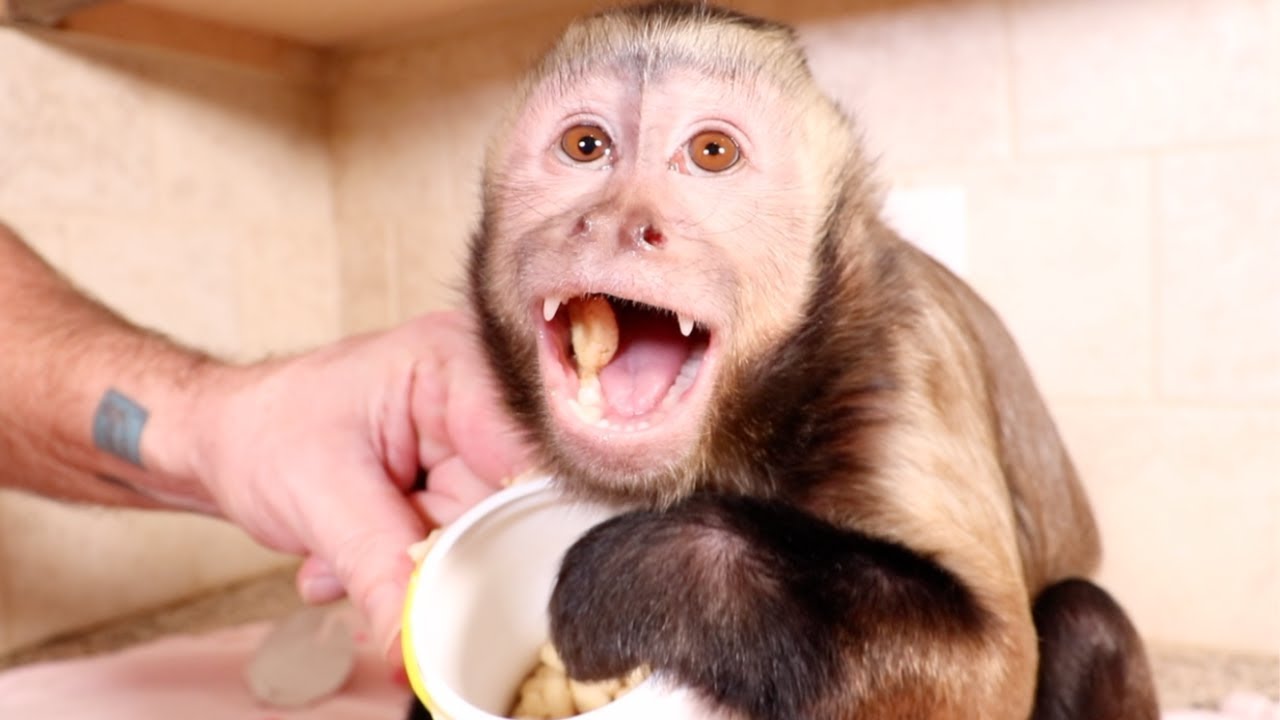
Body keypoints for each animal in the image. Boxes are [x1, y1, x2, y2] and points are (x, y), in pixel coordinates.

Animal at [411, 3, 1159, 719]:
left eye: (712, 152)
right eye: (585, 145)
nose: (622, 221)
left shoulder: (895, 362)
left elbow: (996, 671)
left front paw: (647, 574)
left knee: (1083, 615)